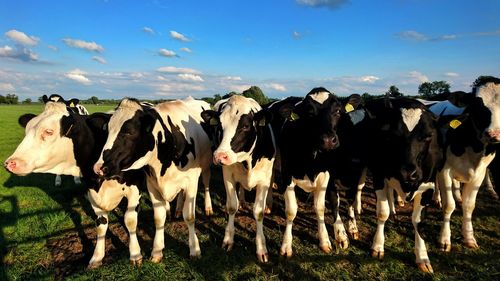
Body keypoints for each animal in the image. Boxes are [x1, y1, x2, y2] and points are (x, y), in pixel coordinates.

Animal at [4, 101, 145, 266]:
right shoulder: (92, 193)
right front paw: (97, 257)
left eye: (49, 132)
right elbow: (101, 225)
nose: (10, 163)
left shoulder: (135, 190)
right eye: (26, 130)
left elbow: (130, 221)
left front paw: (135, 254)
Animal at [93, 97, 211, 260]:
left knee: (206, 183)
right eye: (108, 130)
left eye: (129, 132)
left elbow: (190, 217)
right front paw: (157, 251)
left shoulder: (191, 181)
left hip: (205, 167)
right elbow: (159, 218)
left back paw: (208, 207)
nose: (99, 167)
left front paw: (194, 249)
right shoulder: (152, 185)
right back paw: (177, 209)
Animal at [200, 95, 276, 262]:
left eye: (246, 126)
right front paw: (228, 240)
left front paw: (261, 248)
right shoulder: (228, 175)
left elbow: (258, 212)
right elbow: (231, 206)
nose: (220, 156)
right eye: (220, 125)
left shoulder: (264, 180)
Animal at [270, 87, 348, 256]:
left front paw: (326, 240)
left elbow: (321, 207)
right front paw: (286, 245)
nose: (328, 140)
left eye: (338, 111)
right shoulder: (287, 175)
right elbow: (291, 211)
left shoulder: (326, 176)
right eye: (309, 113)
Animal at [438, 78, 500, 252]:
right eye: (477, 105)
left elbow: (469, 205)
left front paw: (469, 238)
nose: (494, 134)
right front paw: (444, 239)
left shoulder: (479, 173)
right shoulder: (444, 170)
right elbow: (448, 205)